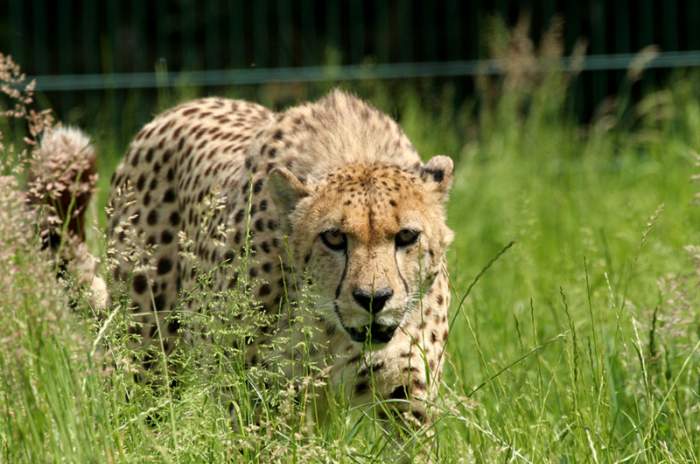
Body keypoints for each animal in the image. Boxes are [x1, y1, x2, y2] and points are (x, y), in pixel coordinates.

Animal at [104, 89, 454, 426]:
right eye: (334, 237)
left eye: (407, 236)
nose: (373, 298)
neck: (331, 328)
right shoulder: (255, 396)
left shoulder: (405, 391)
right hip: (146, 356)